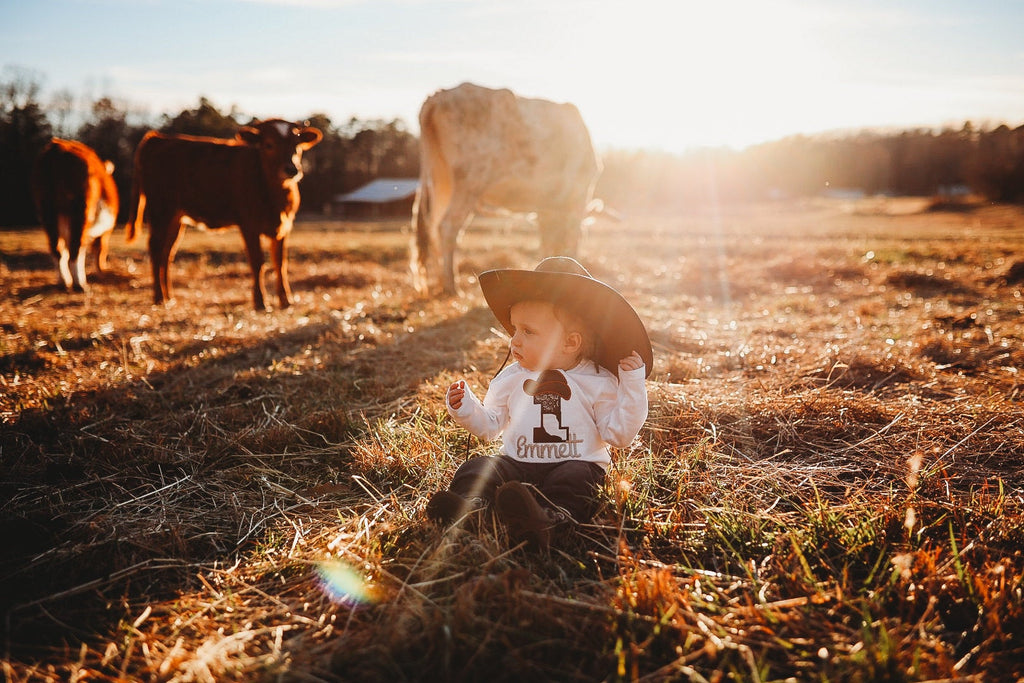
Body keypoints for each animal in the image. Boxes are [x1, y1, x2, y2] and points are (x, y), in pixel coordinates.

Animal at [31, 137, 119, 292]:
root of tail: (58, 148)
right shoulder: (106, 230)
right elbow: (100, 248)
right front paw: (101, 270)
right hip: (81, 209)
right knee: (76, 247)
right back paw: (80, 284)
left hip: (47, 208)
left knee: (57, 247)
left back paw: (64, 282)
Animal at [126, 118, 321, 311]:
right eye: (269, 144)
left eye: (297, 144)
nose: (292, 169)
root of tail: (158, 138)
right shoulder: (249, 225)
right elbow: (258, 262)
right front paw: (260, 302)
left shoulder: (283, 227)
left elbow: (280, 263)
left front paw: (286, 300)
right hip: (160, 211)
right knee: (156, 249)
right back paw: (159, 298)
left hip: (175, 218)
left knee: (167, 253)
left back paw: (169, 297)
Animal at [407, 81, 598, 294]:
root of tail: (439, 95)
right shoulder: (578, 196)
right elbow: (572, 239)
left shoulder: (547, 208)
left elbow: (548, 242)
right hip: (470, 180)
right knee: (448, 226)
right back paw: (451, 285)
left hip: (441, 180)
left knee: (433, 226)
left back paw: (440, 282)